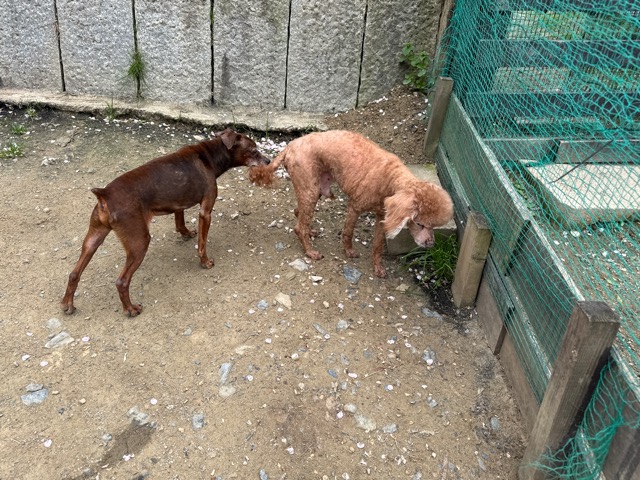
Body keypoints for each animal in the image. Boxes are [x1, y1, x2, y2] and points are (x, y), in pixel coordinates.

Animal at [61, 129, 270, 316]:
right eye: (254, 150)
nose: (268, 161)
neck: (209, 156)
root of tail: (104, 195)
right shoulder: (205, 212)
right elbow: (202, 244)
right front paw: (205, 262)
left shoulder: (179, 202)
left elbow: (180, 221)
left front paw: (186, 233)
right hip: (139, 242)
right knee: (121, 281)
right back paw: (130, 309)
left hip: (93, 238)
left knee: (73, 273)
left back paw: (67, 305)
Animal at [249, 130, 453, 278]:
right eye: (419, 223)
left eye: (433, 226)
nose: (431, 244)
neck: (391, 179)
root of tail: (290, 146)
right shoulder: (355, 207)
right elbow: (348, 233)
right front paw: (348, 251)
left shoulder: (383, 216)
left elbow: (377, 245)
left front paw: (377, 267)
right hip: (310, 189)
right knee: (299, 226)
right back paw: (310, 251)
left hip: (314, 188)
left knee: (298, 212)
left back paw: (311, 231)